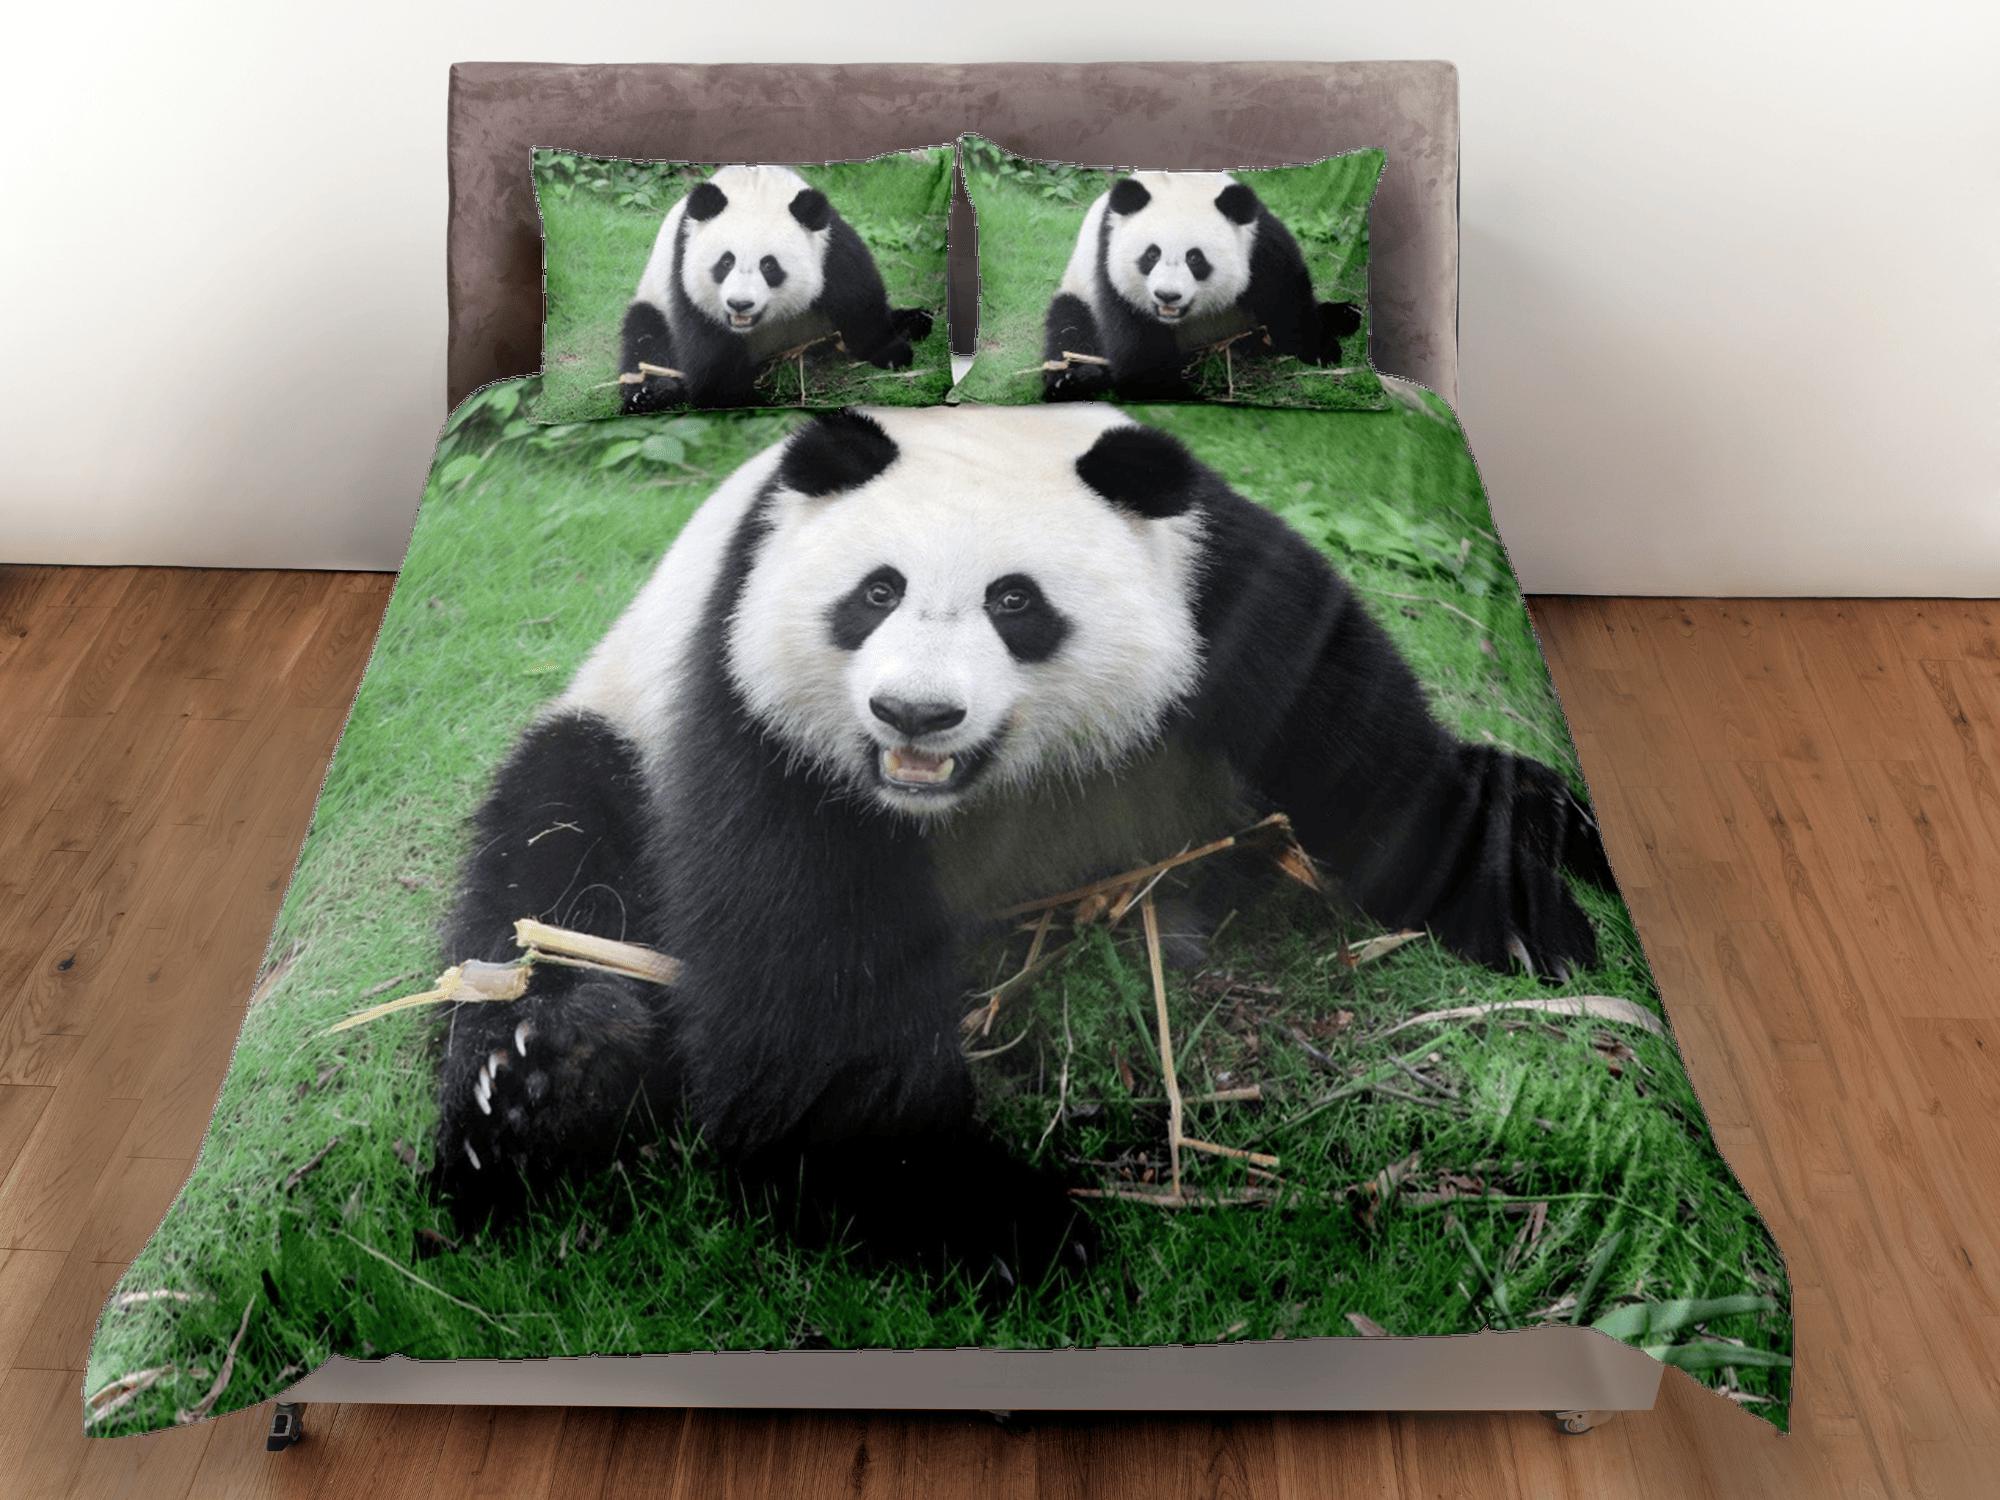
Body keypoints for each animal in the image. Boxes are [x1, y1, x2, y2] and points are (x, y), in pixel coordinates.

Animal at [431, 405, 1612, 1280]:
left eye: (1015, 601)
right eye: (876, 590)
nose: (913, 716)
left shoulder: (1223, 596)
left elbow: (1368, 760)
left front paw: (1521, 915)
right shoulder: (755, 695)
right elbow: (808, 976)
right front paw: (988, 1217)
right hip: (621, 724)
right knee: (551, 854)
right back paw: (539, 1089)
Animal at [619, 164, 934, 411]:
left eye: (769, 265)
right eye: (726, 262)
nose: (740, 304)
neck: (755, 187)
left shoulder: (829, 246)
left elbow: (858, 296)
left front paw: (892, 352)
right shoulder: (684, 270)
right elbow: (709, 351)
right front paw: (744, 400)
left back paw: (915, 321)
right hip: (653, 299)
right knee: (644, 337)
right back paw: (650, 393)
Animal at [1041, 171, 1363, 402]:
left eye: (1194, 258)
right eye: (1151, 254)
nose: (1167, 296)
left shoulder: (1259, 246)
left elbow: (1288, 298)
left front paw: (1322, 349)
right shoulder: (1111, 272)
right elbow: (1138, 352)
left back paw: (1346, 315)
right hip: (1078, 289)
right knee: (1069, 326)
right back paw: (1073, 380)